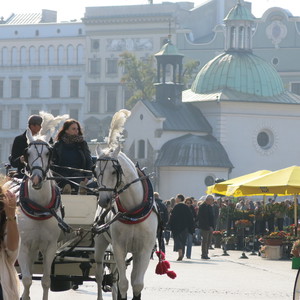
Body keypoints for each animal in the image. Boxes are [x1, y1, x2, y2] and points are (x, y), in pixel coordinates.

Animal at [17, 129, 62, 300]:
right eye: (27, 153)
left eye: (48, 153)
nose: (36, 179)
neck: (39, 208)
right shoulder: (22, 245)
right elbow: (27, 279)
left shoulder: (50, 247)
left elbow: (46, 280)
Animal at [94, 110, 159, 300]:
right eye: (95, 171)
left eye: (114, 171)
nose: (104, 201)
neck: (133, 210)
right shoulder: (119, 247)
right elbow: (123, 283)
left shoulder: (143, 249)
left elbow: (136, 283)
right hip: (100, 242)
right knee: (100, 274)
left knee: (114, 275)